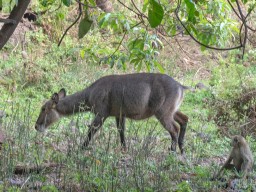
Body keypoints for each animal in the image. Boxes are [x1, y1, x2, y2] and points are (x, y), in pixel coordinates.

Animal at [34, 73, 188, 154]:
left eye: (43, 108)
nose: (36, 126)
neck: (89, 94)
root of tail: (180, 86)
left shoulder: (102, 113)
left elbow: (91, 131)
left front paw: (80, 149)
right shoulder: (119, 114)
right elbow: (121, 132)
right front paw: (124, 149)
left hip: (163, 112)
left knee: (174, 128)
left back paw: (172, 151)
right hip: (172, 110)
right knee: (185, 119)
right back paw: (182, 149)